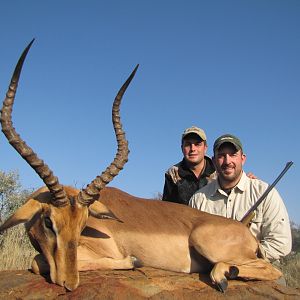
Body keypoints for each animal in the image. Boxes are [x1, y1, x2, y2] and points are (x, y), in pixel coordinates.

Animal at [0, 41, 282, 292]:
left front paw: (133, 261)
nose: (69, 283)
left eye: (83, 225)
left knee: (272, 269)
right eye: (49, 222)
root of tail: (245, 233)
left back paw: (223, 275)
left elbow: (37, 262)